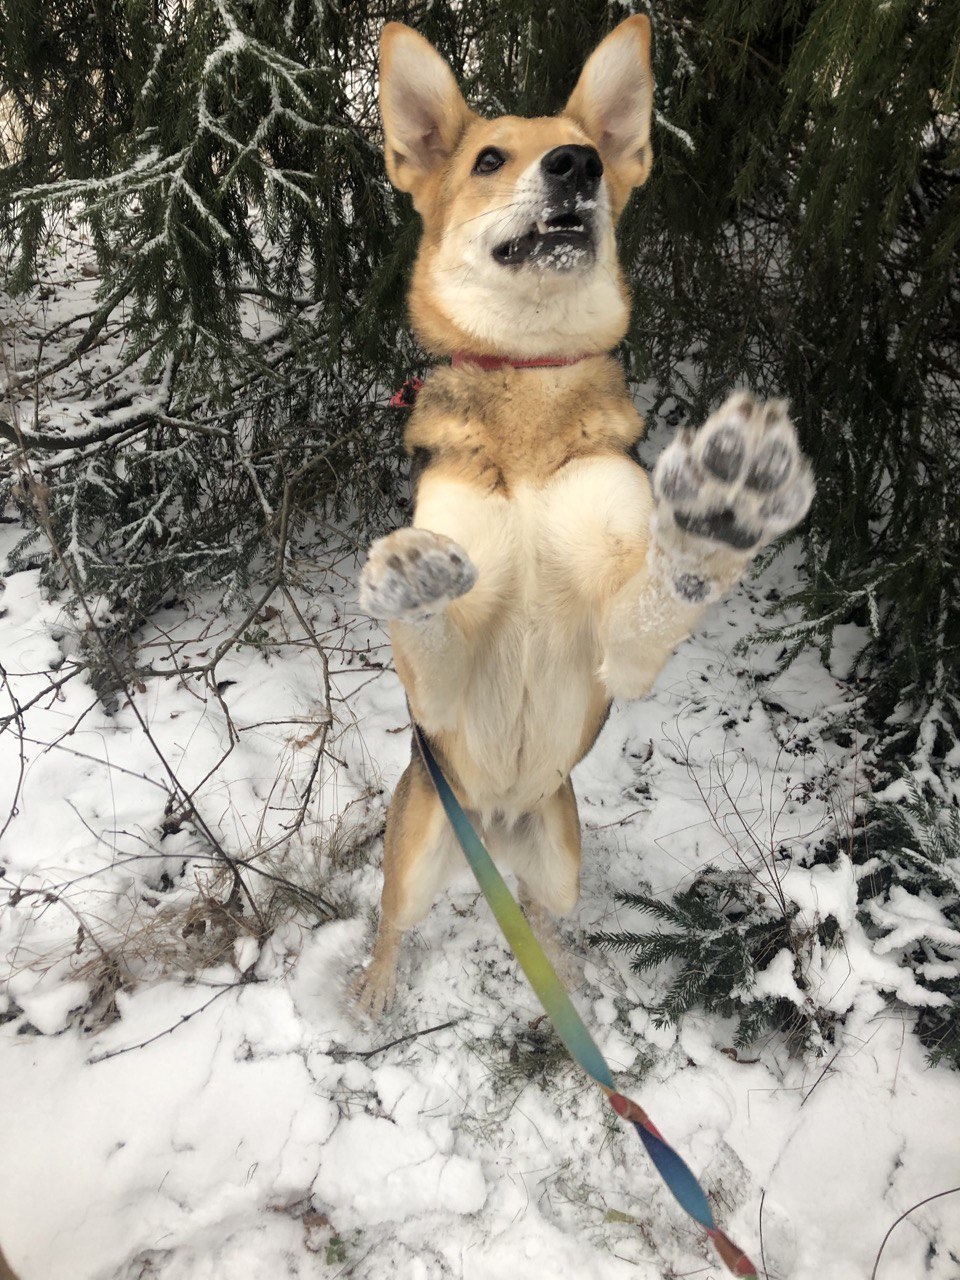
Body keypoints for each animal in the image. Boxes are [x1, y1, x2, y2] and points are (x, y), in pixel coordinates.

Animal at [353, 17, 814, 1018]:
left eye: (593, 151)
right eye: (490, 158)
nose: (577, 165)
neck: (531, 382)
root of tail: (490, 825)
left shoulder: (620, 646)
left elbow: (663, 588)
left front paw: (721, 512)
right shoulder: (436, 693)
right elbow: (430, 628)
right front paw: (409, 576)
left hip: (560, 849)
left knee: (546, 913)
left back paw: (567, 976)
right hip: (418, 841)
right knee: (392, 923)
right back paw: (372, 993)